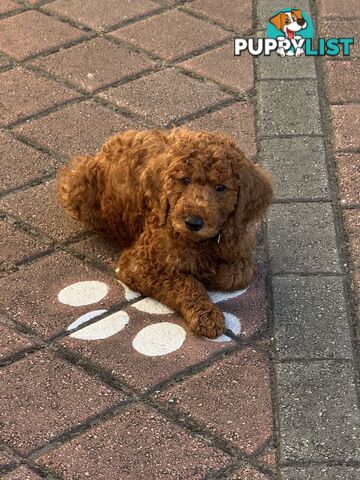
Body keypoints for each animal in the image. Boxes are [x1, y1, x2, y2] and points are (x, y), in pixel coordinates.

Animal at [57, 127, 272, 338]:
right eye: (185, 180)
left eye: (221, 188)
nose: (193, 222)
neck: (201, 242)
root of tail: (111, 142)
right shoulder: (140, 264)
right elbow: (184, 283)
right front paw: (206, 315)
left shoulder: (241, 244)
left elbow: (238, 274)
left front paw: (209, 276)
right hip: (78, 187)